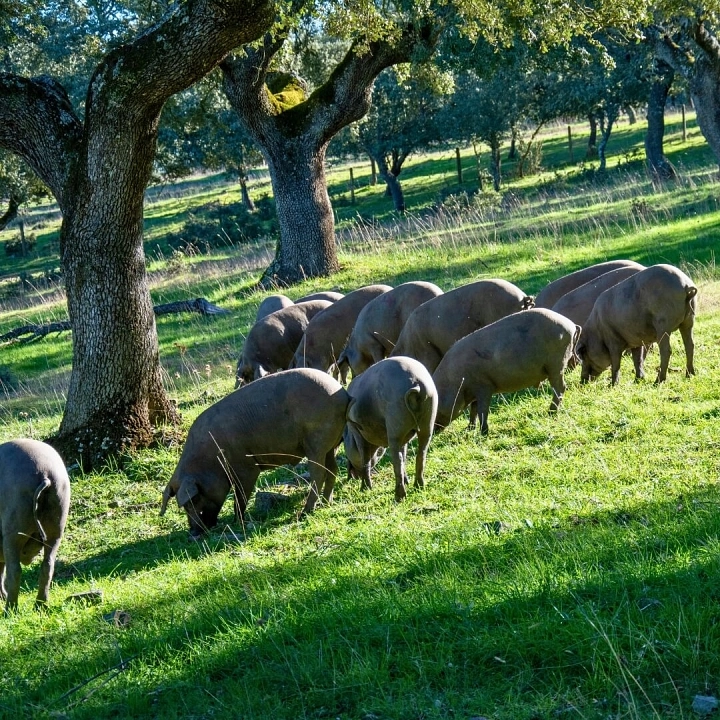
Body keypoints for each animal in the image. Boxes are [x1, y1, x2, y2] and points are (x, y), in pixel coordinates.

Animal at [0, 438, 70, 612]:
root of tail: (45, 475)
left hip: (13, 532)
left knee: (14, 570)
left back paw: (10, 610)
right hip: (56, 529)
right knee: (48, 566)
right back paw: (40, 606)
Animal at [159, 368, 350, 532]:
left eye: (193, 500)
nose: (193, 532)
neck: (210, 459)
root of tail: (343, 394)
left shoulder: (246, 467)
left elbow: (241, 495)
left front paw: (238, 521)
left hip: (316, 442)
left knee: (319, 473)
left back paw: (305, 512)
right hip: (329, 445)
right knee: (332, 469)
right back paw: (326, 503)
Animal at [344, 358, 438, 504]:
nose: (353, 475)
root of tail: (417, 385)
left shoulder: (357, 432)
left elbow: (365, 459)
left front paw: (365, 488)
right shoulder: (406, 436)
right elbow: (404, 455)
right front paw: (407, 480)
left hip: (394, 428)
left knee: (397, 460)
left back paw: (399, 496)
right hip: (428, 422)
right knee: (421, 454)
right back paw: (419, 486)